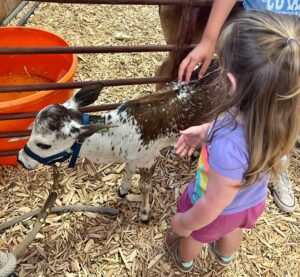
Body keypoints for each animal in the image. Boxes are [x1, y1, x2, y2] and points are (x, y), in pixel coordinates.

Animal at [17, 59, 221, 220]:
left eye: (44, 145)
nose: (20, 160)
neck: (115, 138)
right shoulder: (132, 157)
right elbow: (128, 171)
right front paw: (123, 190)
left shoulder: (149, 159)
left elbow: (144, 186)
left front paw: (144, 213)